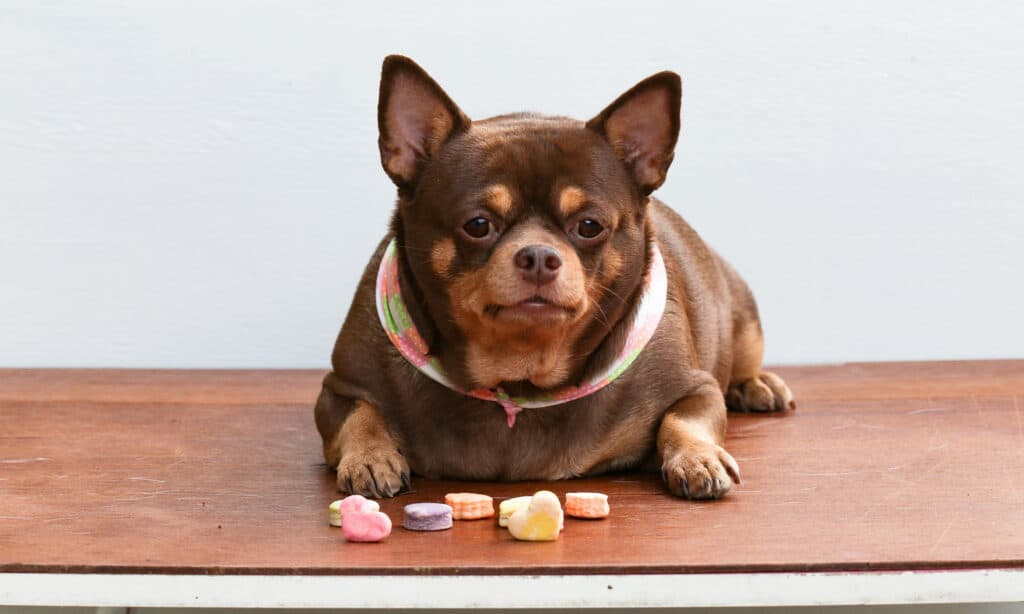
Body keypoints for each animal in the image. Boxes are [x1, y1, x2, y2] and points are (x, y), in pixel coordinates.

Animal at [311, 55, 790, 501]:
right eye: (478, 225)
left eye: (589, 226)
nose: (539, 256)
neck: (519, 376)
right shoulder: (340, 388)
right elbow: (359, 415)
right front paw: (371, 456)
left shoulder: (697, 388)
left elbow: (683, 418)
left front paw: (698, 457)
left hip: (743, 322)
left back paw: (756, 384)